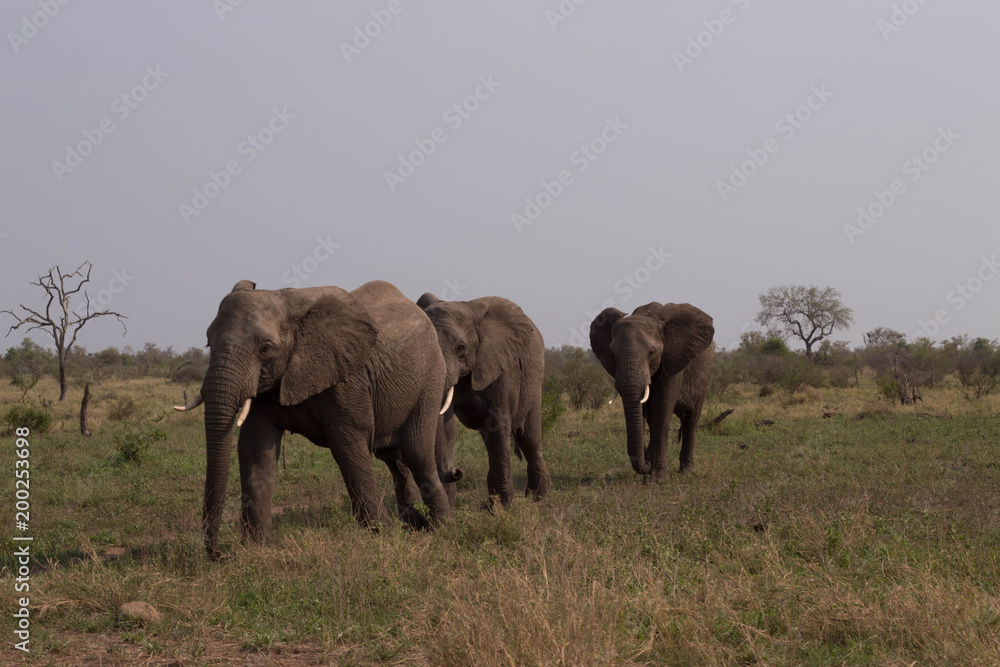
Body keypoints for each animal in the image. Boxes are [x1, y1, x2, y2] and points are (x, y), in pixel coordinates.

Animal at [174, 280, 452, 556]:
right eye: (208, 343)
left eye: (265, 349)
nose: (217, 553)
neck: (287, 305)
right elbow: (255, 448)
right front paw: (255, 549)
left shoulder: (346, 378)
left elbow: (348, 445)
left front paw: (381, 535)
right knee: (395, 458)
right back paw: (415, 526)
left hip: (431, 377)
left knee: (416, 453)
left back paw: (440, 529)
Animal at [396, 293, 551, 507]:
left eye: (460, 348)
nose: (454, 471)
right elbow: (446, 425)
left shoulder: (502, 367)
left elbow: (497, 423)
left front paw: (502, 507)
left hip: (535, 382)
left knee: (528, 439)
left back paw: (537, 498)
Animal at [589, 302, 714, 482]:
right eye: (612, 354)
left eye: (652, 352)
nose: (646, 465)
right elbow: (644, 410)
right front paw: (651, 470)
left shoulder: (673, 357)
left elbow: (663, 405)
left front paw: (658, 478)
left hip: (704, 378)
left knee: (690, 421)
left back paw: (687, 471)